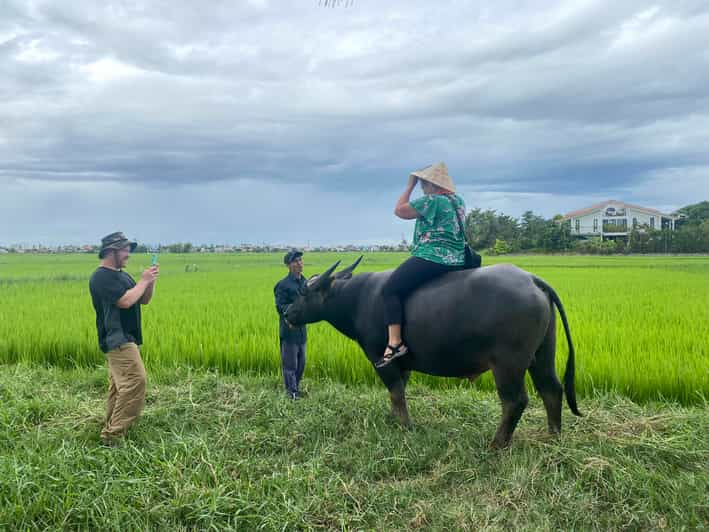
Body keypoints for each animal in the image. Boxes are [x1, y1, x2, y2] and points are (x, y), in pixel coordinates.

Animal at [284, 256, 580, 446]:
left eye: (303, 292)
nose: (286, 313)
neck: (357, 299)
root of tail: (532, 279)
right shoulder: (401, 364)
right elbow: (398, 393)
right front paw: (393, 419)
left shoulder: (381, 359)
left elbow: (396, 391)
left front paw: (405, 426)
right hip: (542, 353)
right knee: (551, 388)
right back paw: (554, 435)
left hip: (508, 363)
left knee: (515, 400)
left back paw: (497, 444)